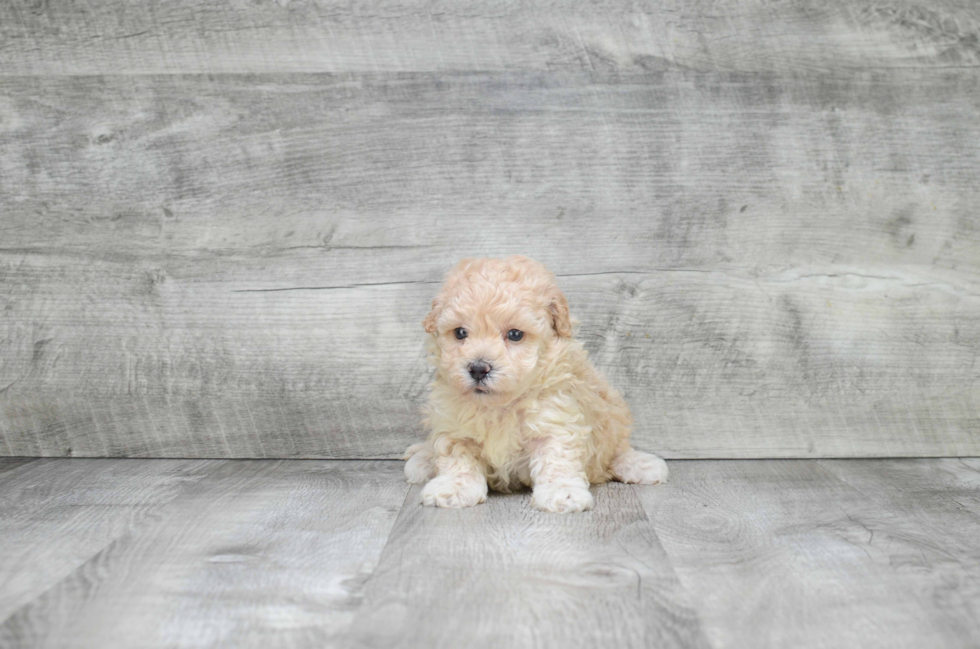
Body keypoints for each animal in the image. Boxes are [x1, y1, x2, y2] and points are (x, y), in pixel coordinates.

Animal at [404, 253, 668, 512]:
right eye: (460, 333)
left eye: (515, 334)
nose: (478, 369)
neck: (499, 406)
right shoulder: (453, 424)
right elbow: (457, 456)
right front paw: (453, 487)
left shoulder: (555, 418)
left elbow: (556, 459)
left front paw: (562, 492)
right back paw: (422, 459)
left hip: (613, 413)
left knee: (617, 449)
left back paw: (641, 464)